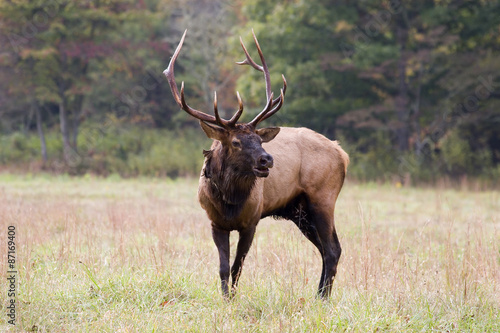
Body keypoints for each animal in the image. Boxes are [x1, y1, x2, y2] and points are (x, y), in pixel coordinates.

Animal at [164, 29, 348, 296]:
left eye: (259, 140)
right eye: (236, 142)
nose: (267, 159)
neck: (230, 202)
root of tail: (342, 153)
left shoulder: (251, 221)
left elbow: (237, 267)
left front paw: (232, 297)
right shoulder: (215, 222)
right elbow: (222, 267)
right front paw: (225, 298)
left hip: (323, 198)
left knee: (333, 249)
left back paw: (322, 298)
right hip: (299, 211)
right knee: (326, 249)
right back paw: (318, 295)